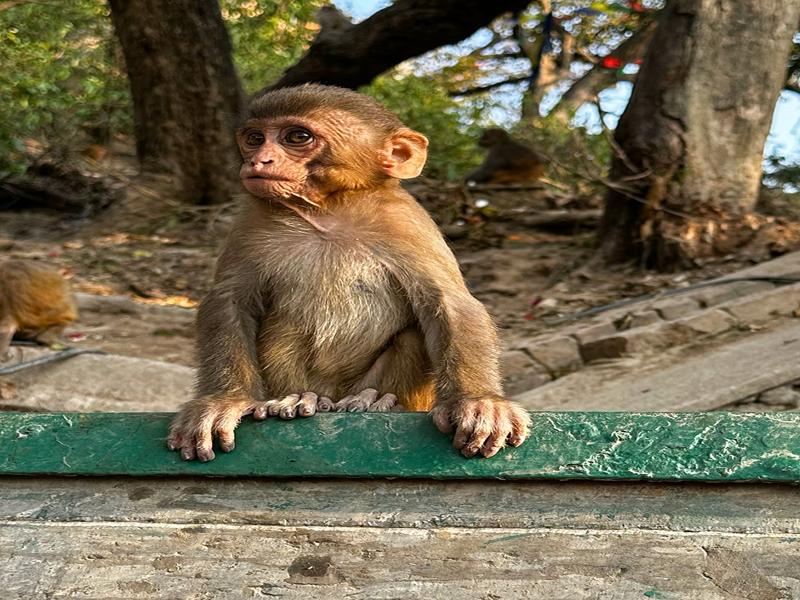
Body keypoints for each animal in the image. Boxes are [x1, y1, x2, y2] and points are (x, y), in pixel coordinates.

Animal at [167, 84, 531, 462]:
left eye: (297, 136)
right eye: (254, 139)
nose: (258, 160)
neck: (329, 211)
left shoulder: (407, 222)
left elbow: (448, 303)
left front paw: (479, 401)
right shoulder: (249, 223)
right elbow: (230, 302)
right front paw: (225, 401)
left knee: (412, 337)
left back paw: (375, 403)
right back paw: (298, 400)